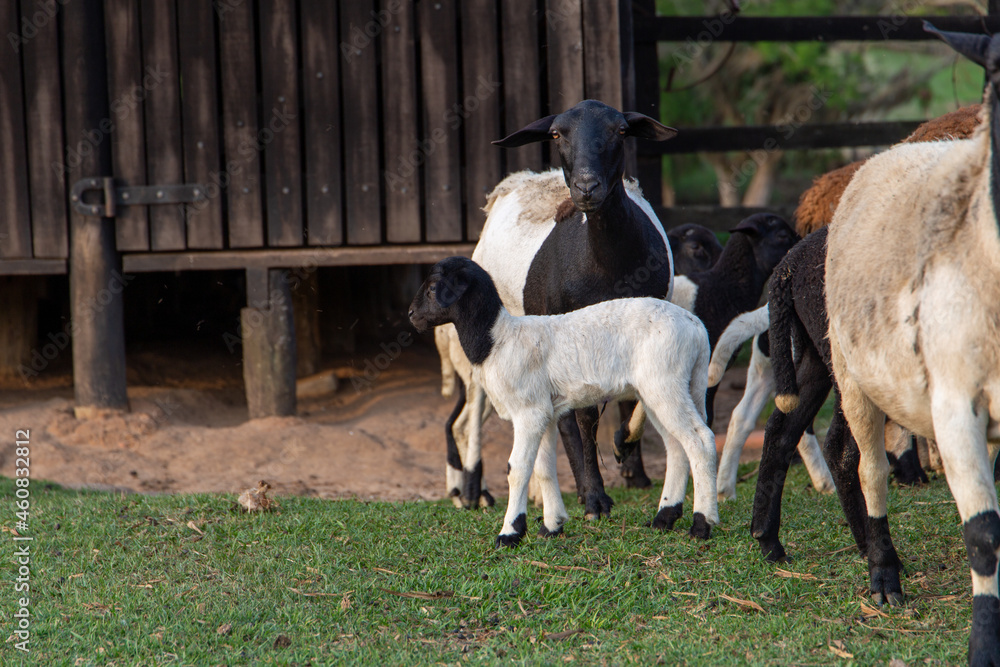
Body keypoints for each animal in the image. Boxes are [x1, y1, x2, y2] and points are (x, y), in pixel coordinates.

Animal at [409, 256, 719, 546]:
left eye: (434, 287)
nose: (411, 315)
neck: (497, 341)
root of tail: (697, 329)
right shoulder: (544, 412)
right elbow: (543, 468)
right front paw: (552, 526)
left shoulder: (529, 411)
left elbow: (517, 468)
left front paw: (510, 533)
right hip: (667, 389)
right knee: (677, 447)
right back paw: (663, 519)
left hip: (664, 384)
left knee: (700, 441)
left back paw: (701, 525)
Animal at [823, 24, 1000, 662]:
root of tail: (891, 151)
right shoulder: (955, 405)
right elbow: (984, 535)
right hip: (852, 375)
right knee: (870, 471)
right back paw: (884, 576)